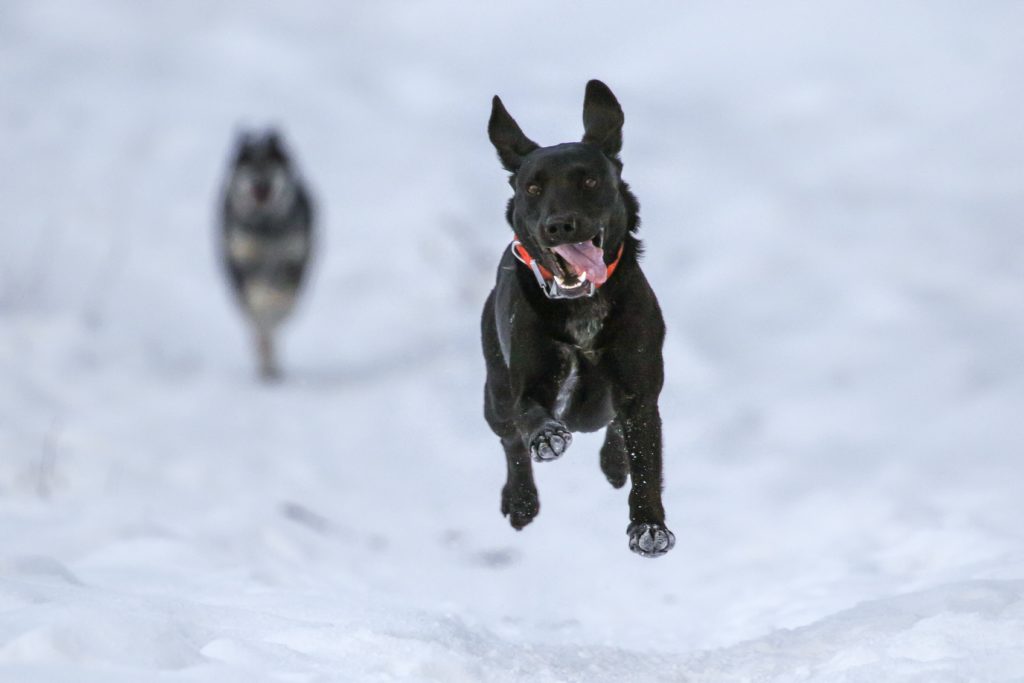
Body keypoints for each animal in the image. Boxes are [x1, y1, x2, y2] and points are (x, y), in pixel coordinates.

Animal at [223, 131, 315, 382]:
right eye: (248, 165)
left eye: (271, 164)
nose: (260, 182)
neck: (266, 225)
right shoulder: (244, 257)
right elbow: (259, 299)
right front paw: (265, 303)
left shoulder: (293, 258)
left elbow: (284, 296)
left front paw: (276, 304)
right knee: (259, 330)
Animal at [483, 81, 675, 557]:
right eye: (533, 188)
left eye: (589, 180)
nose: (560, 225)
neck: (580, 307)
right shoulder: (525, 382)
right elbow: (530, 415)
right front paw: (548, 437)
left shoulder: (639, 387)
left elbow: (646, 457)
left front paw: (649, 526)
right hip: (494, 393)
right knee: (509, 438)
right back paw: (521, 500)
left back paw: (613, 464)